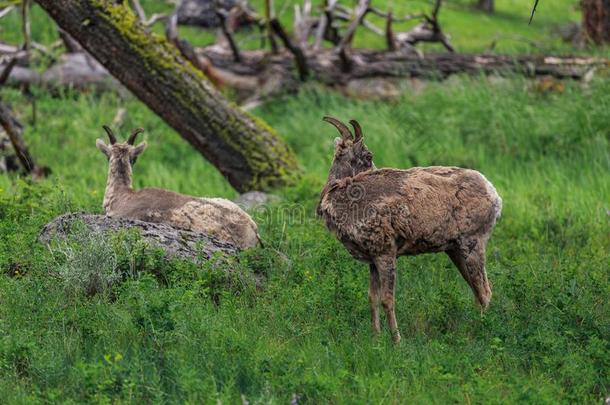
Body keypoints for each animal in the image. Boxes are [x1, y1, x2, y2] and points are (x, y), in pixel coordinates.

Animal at [316, 116, 502, 340]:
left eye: (369, 155)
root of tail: (493, 193)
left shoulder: (386, 255)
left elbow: (387, 300)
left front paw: (396, 340)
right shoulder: (373, 261)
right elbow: (372, 298)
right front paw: (376, 338)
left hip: (473, 245)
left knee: (485, 291)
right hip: (455, 251)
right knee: (477, 292)